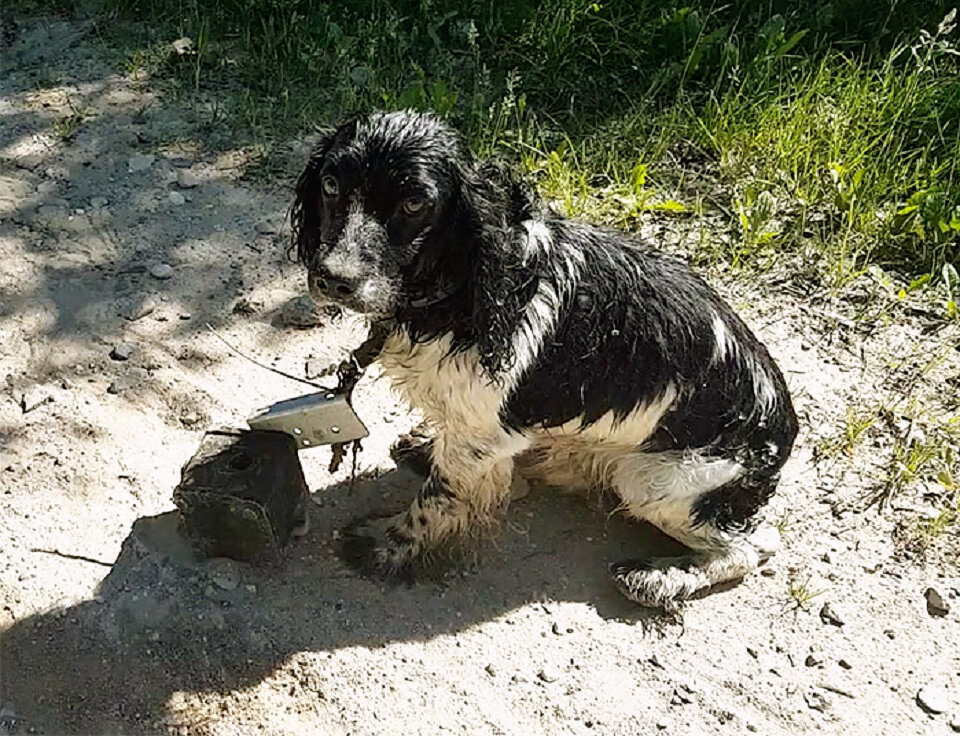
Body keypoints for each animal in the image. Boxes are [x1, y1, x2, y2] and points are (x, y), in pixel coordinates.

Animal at [288, 110, 800, 608]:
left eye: (415, 203)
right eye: (330, 184)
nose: (333, 278)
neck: (461, 287)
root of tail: (785, 427)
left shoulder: (480, 433)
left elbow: (439, 497)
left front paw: (387, 544)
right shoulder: (478, 432)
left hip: (656, 479)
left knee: (755, 546)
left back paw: (659, 580)